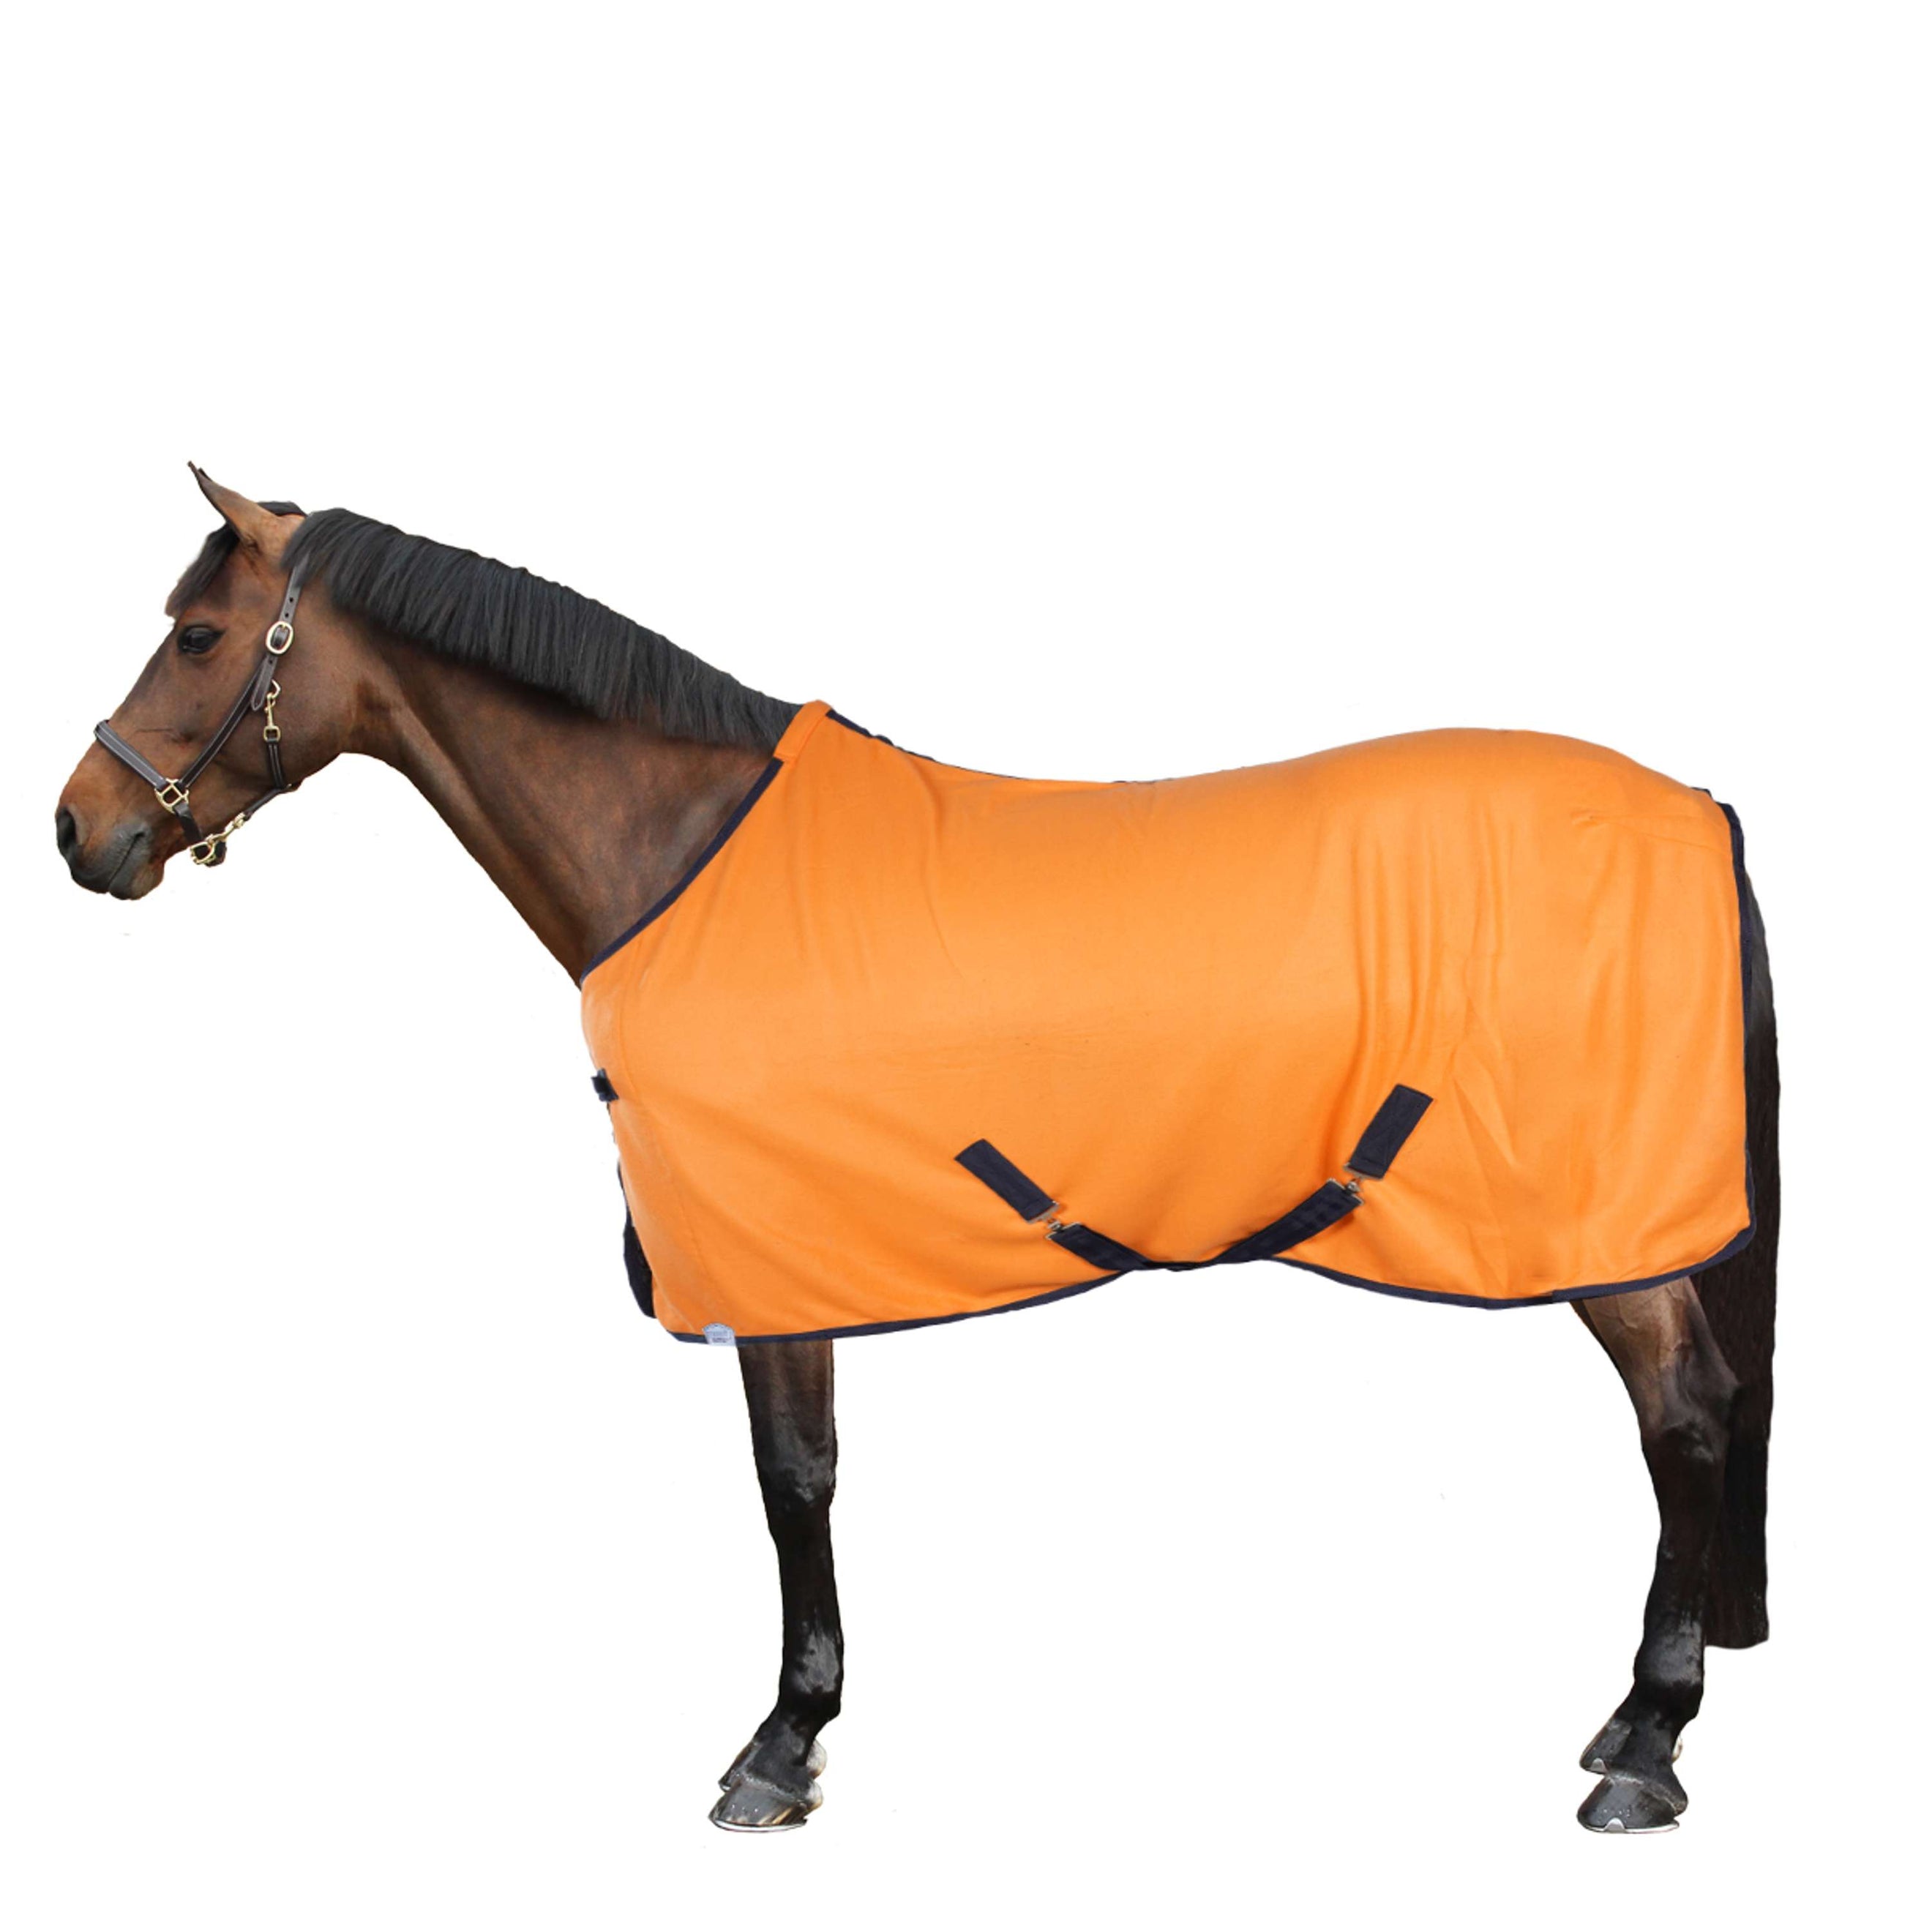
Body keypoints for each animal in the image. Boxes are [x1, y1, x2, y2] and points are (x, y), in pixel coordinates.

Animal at [56, 469, 1779, 1836]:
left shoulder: (774, 1254)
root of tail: (1694, 808)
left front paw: (780, 1745)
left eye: (199, 636)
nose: (81, 831)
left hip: (1596, 1234)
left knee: (1687, 1417)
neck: (683, 856)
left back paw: (1647, 1749)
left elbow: (794, 1482)